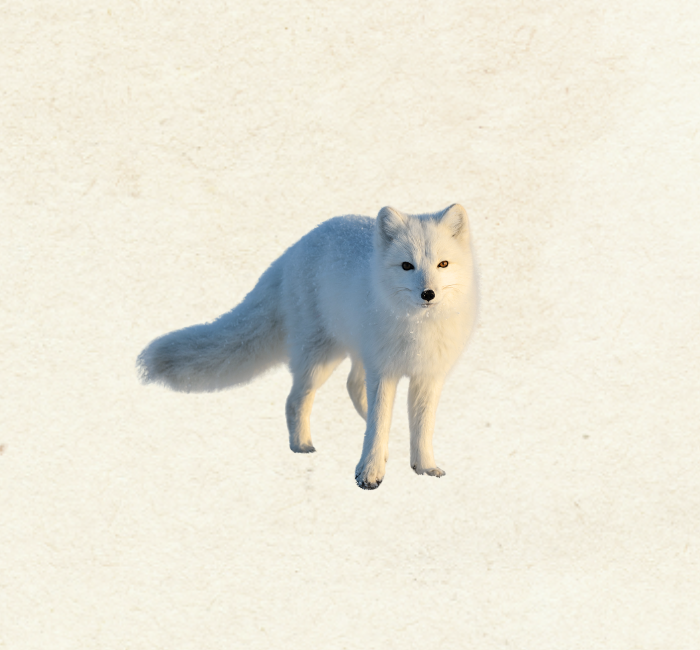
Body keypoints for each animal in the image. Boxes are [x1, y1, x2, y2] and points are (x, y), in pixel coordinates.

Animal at [137, 204, 478, 489]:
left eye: (443, 264)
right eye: (407, 265)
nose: (428, 294)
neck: (418, 329)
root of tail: (296, 247)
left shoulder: (428, 374)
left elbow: (422, 426)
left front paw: (425, 467)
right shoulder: (383, 371)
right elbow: (379, 423)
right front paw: (370, 473)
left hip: (351, 351)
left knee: (352, 386)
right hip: (319, 357)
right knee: (296, 399)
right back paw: (302, 445)